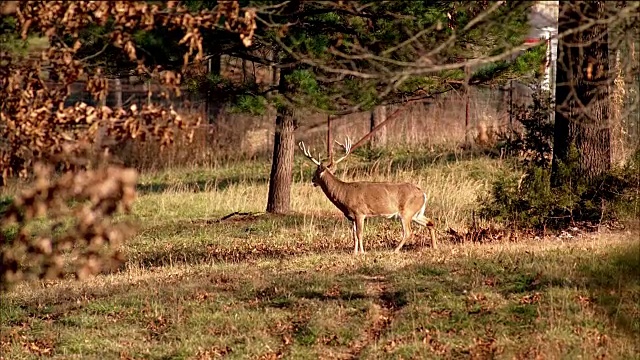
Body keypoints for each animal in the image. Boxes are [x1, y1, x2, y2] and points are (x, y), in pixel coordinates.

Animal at [298, 136, 438, 255]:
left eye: (315, 173)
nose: (312, 180)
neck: (343, 193)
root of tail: (423, 193)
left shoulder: (359, 212)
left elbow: (360, 234)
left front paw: (362, 252)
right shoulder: (351, 217)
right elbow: (354, 235)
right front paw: (354, 252)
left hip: (407, 211)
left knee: (408, 232)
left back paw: (395, 250)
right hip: (416, 213)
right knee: (430, 223)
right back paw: (434, 246)